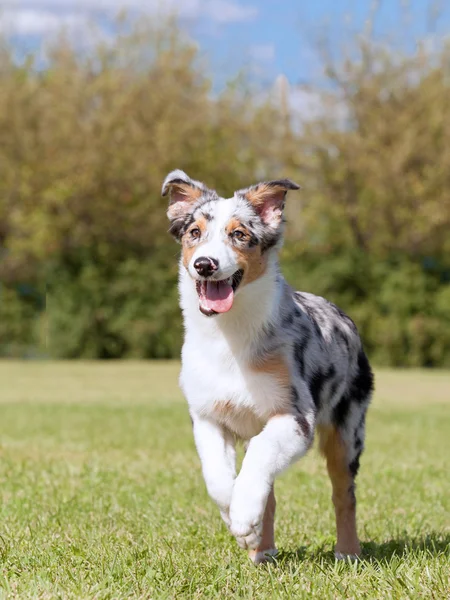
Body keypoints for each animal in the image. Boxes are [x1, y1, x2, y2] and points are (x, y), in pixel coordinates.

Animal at [162, 169, 372, 564]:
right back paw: (262, 549)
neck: (228, 335)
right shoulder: (208, 417)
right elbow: (217, 477)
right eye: (194, 232)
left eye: (240, 235)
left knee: (344, 493)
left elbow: (258, 458)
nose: (204, 265)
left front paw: (244, 516)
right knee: (267, 490)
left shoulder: (295, 417)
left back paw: (347, 552)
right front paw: (238, 519)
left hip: (347, 430)